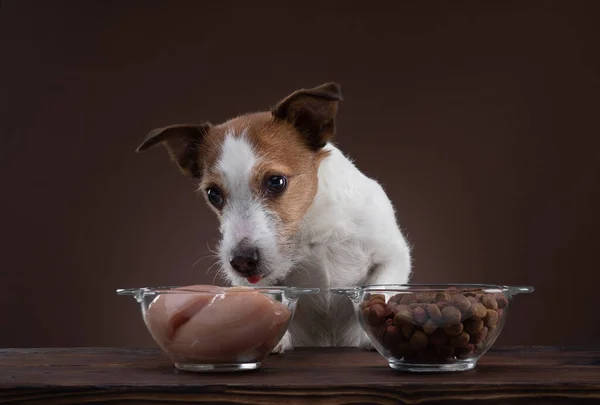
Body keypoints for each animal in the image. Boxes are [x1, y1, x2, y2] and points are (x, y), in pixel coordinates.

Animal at [138, 82, 412, 350]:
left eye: (276, 182)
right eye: (213, 194)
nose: (242, 261)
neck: (309, 228)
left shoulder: (393, 256)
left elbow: (378, 287)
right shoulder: (255, 283)